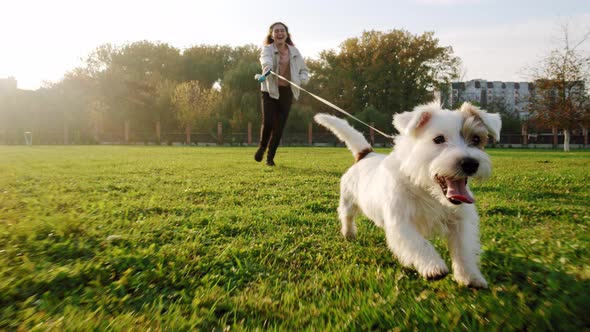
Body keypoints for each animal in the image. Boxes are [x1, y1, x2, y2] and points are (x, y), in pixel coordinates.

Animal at [316, 102, 502, 288]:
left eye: (476, 139)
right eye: (439, 139)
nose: (470, 163)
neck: (425, 188)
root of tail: (366, 154)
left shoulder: (460, 222)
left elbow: (463, 249)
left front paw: (470, 276)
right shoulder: (401, 222)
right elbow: (420, 243)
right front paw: (433, 266)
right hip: (348, 201)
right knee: (347, 216)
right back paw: (348, 233)